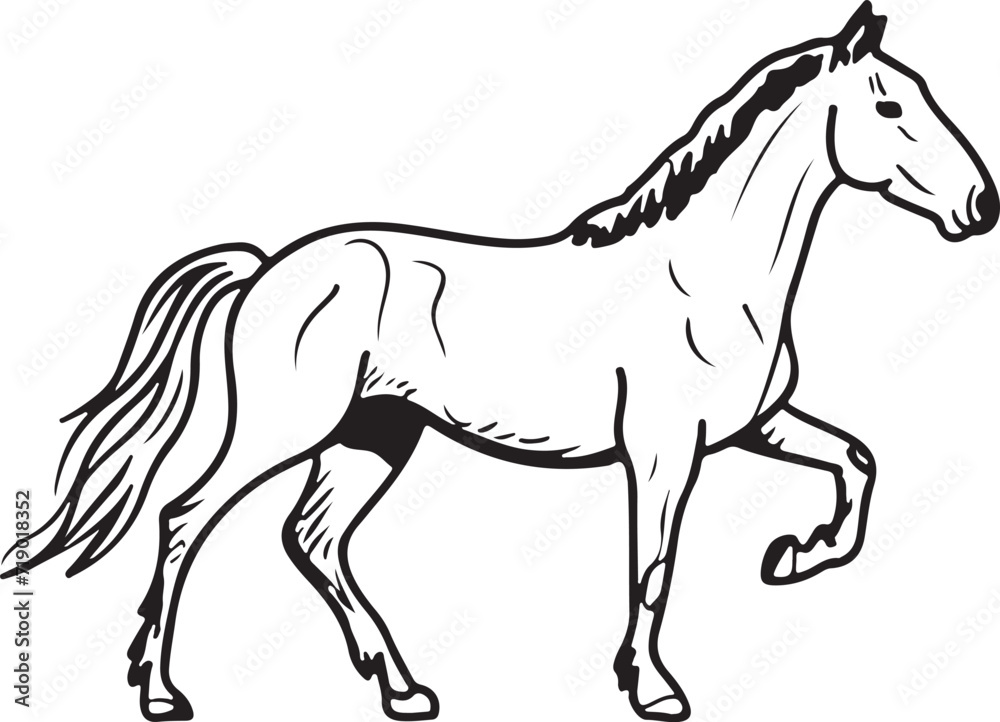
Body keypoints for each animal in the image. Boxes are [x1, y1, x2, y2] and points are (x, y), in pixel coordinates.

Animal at [3, 3, 996, 720]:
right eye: (892, 107)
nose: (981, 205)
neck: (708, 274)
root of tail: (268, 269)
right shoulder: (664, 449)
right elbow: (654, 566)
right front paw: (655, 691)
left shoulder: (749, 426)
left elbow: (857, 461)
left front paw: (794, 557)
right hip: (286, 428)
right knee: (185, 517)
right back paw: (163, 693)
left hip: (374, 435)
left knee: (312, 538)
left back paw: (404, 690)